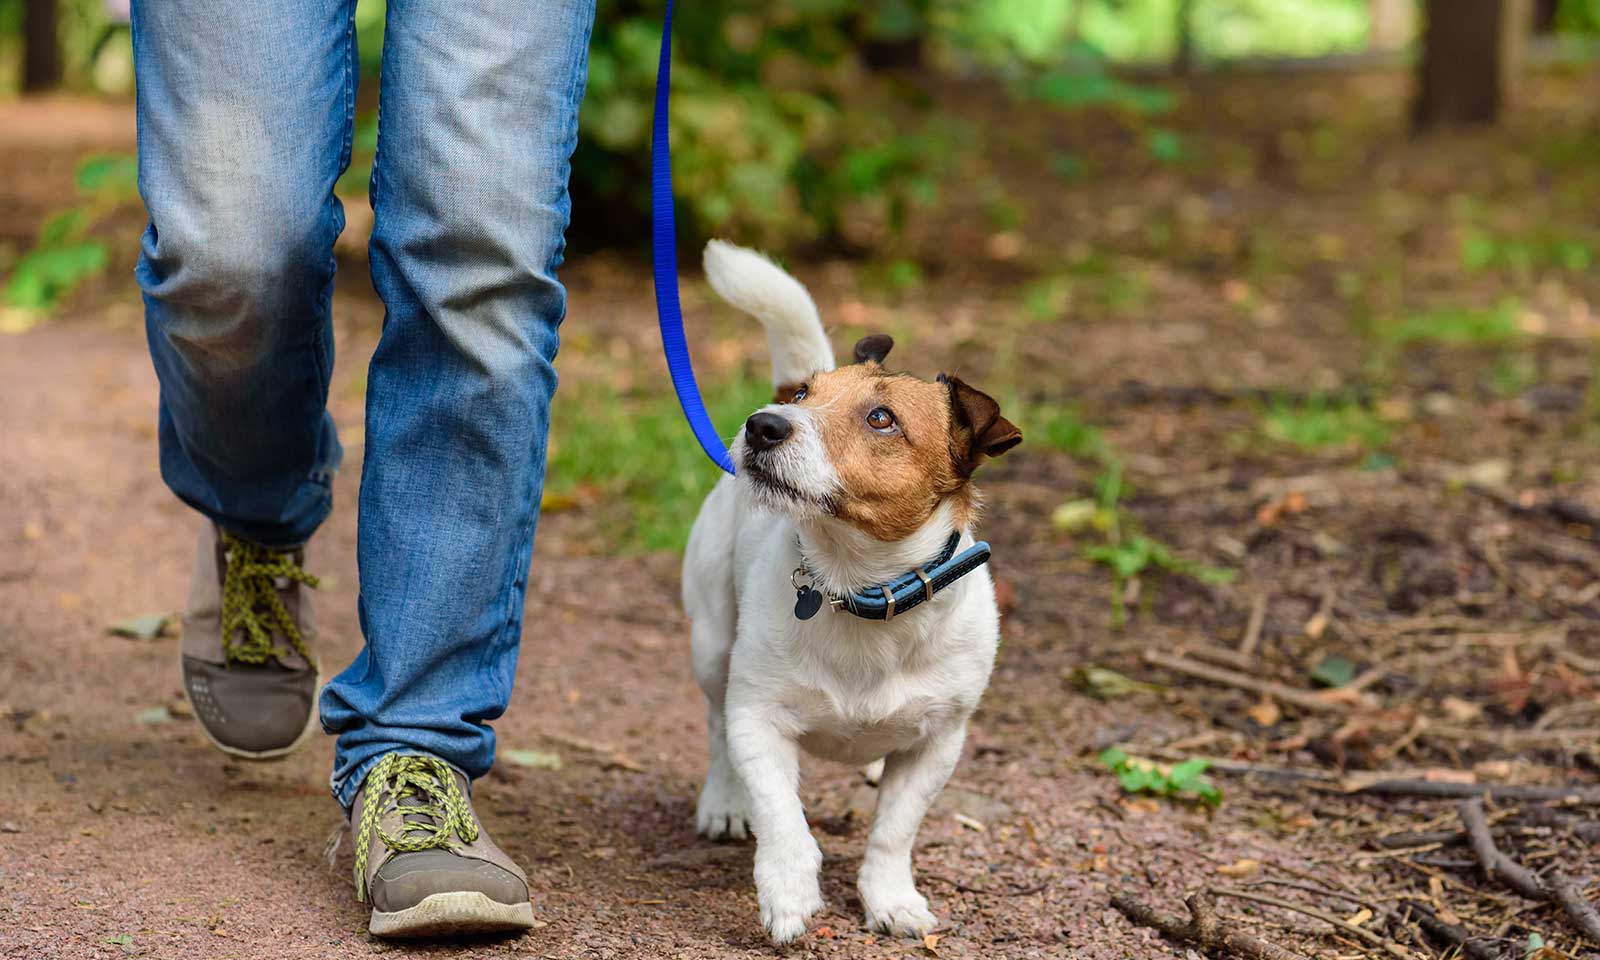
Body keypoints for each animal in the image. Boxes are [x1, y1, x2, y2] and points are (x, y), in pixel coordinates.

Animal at [681, 240, 1017, 947]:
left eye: (881, 419)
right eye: (807, 394)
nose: (762, 424)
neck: (857, 587)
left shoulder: (937, 745)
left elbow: (893, 832)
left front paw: (892, 899)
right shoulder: (758, 719)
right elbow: (782, 816)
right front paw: (788, 892)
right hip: (712, 645)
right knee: (716, 729)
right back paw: (724, 801)